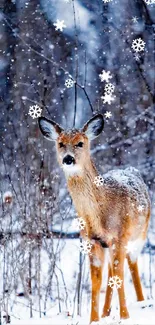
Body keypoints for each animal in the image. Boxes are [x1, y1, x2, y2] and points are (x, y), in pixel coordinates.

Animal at [38, 113, 150, 322]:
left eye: (80, 143)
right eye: (60, 143)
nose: (68, 159)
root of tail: (132, 170)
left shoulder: (120, 236)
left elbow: (120, 276)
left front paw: (125, 317)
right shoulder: (92, 241)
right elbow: (96, 281)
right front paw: (94, 320)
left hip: (140, 234)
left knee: (131, 264)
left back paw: (141, 302)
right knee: (112, 272)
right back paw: (106, 312)